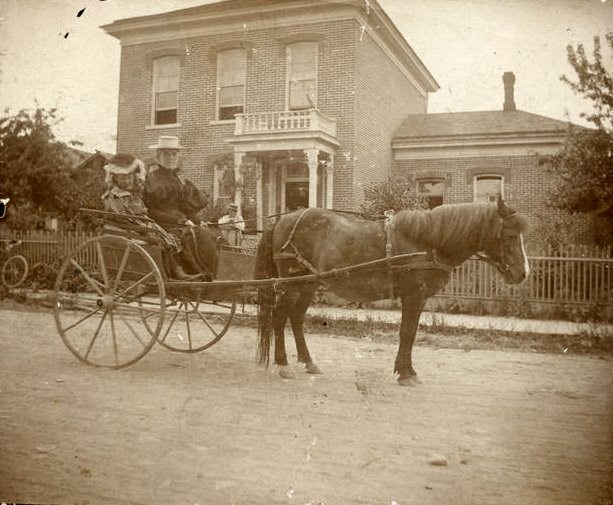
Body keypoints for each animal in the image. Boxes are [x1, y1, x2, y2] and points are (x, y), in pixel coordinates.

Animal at [251, 195, 528, 384]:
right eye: (511, 235)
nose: (523, 274)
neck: (428, 242)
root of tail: (282, 220)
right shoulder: (413, 296)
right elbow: (406, 333)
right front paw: (405, 373)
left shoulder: (418, 299)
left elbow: (411, 333)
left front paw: (407, 370)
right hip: (291, 284)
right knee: (279, 319)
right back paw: (283, 364)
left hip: (307, 285)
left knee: (296, 320)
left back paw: (308, 362)